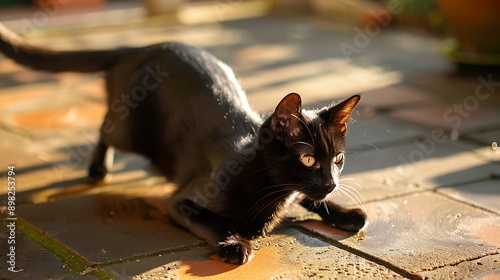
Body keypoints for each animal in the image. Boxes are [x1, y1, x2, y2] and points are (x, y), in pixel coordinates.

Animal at [0, 24, 368, 264]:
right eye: (307, 160)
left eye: (338, 159)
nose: (331, 182)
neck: (272, 193)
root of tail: (141, 48)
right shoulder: (182, 200)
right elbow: (213, 220)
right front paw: (235, 243)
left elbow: (309, 199)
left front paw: (345, 213)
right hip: (131, 132)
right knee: (106, 125)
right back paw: (97, 168)